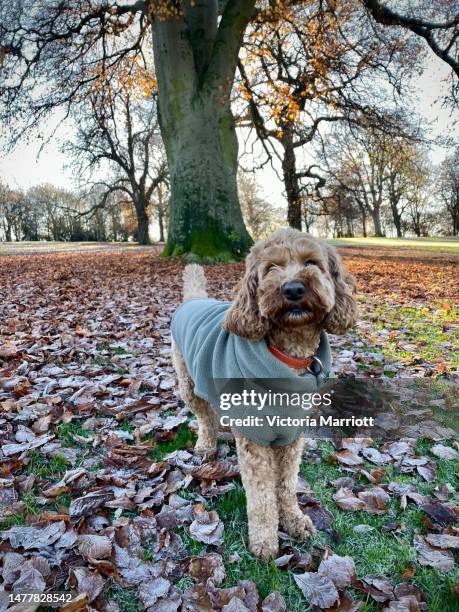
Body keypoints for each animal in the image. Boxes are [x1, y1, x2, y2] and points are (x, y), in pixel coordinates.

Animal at [172, 226, 360, 560]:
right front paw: (264, 541)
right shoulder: (255, 440)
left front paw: (295, 521)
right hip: (188, 383)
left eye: (311, 263)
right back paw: (206, 444)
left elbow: (285, 485)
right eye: (271, 268)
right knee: (204, 417)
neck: (289, 355)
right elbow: (261, 495)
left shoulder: (291, 435)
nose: (294, 289)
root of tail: (193, 299)